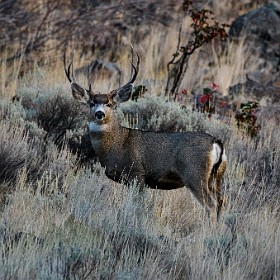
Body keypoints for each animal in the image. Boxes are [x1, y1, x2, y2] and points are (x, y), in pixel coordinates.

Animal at [64, 47, 228, 219]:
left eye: (109, 104)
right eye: (91, 103)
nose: (99, 114)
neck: (116, 145)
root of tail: (216, 143)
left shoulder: (137, 173)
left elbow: (138, 204)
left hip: (194, 173)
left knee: (211, 204)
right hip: (216, 177)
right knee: (222, 200)